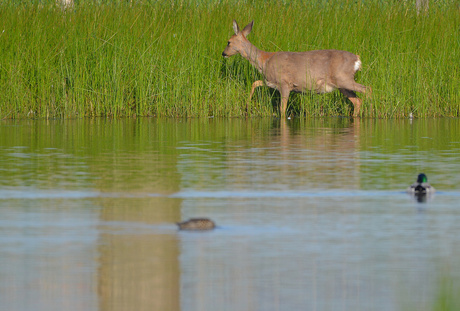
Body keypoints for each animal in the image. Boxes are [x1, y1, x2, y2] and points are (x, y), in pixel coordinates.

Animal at [221, 20, 368, 118]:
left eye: (228, 42)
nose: (223, 53)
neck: (264, 61)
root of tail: (357, 59)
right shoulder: (271, 82)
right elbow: (255, 83)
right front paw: (247, 105)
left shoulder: (285, 83)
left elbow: (282, 109)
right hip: (341, 85)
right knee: (357, 100)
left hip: (344, 78)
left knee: (367, 89)